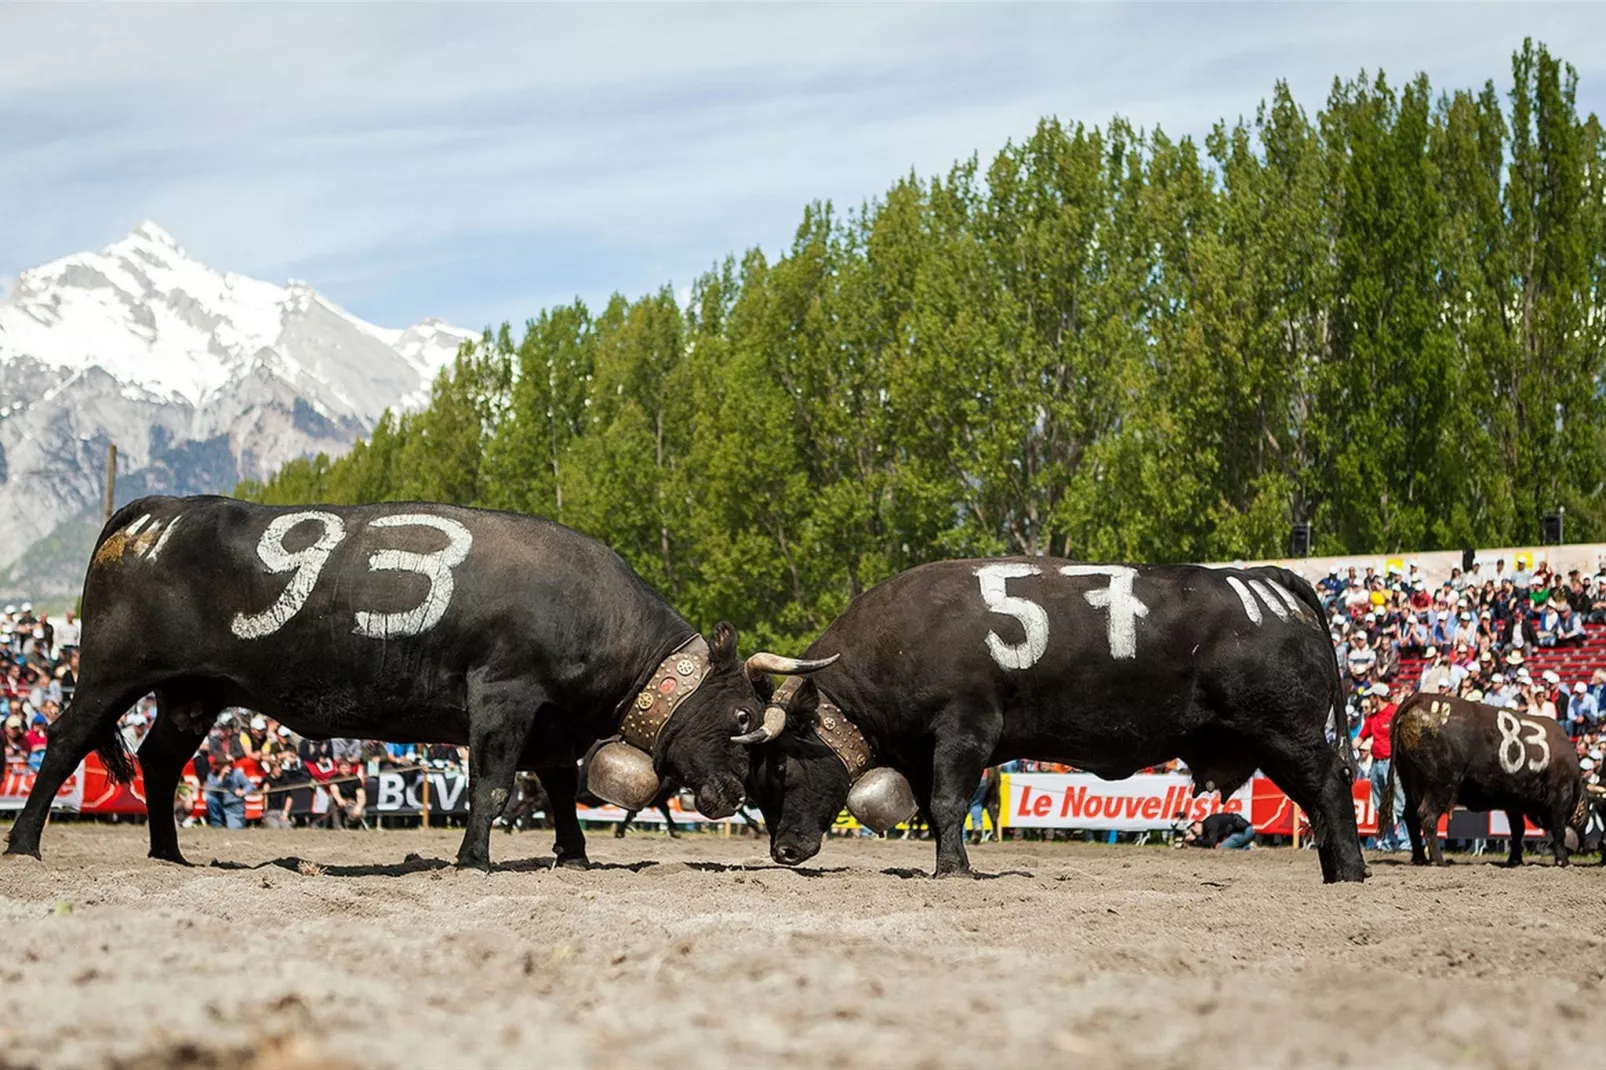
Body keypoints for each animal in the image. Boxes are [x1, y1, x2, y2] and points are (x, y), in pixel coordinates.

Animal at [0, 494, 828, 873]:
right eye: (740, 716)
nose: (730, 795)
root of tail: (160, 509)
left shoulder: (552, 724)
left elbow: (560, 788)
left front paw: (573, 855)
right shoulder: (502, 694)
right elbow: (493, 782)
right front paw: (474, 859)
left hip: (193, 692)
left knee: (160, 761)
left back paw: (169, 855)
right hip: (110, 673)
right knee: (65, 746)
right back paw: (26, 843)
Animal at [748, 552, 1368, 880]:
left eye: (779, 768)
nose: (783, 852)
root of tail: (1262, 579)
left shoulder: (965, 731)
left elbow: (948, 803)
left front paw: (955, 870)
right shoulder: (927, 752)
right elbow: (933, 807)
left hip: (1286, 732)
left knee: (1330, 785)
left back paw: (1351, 871)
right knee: (1315, 799)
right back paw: (1334, 869)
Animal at [1374, 690, 1586, 867]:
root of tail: (1417, 698)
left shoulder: (1514, 801)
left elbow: (1517, 830)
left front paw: (1515, 860)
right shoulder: (1560, 794)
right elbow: (1557, 828)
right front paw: (1563, 861)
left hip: (1410, 781)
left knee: (1410, 816)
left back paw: (1420, 858)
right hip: (1440, 785)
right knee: (1427, 816)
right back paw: (1440, 860)